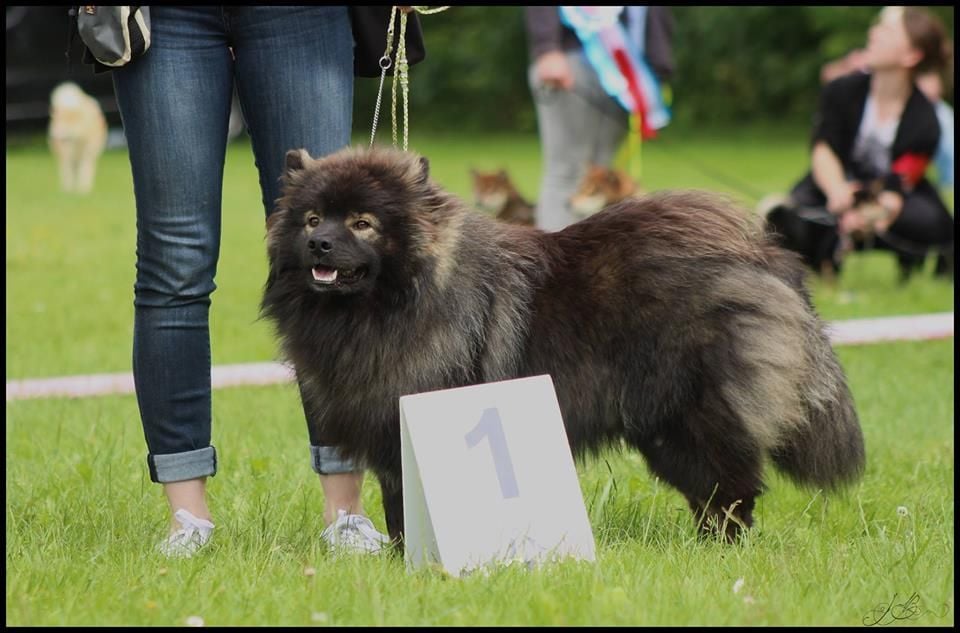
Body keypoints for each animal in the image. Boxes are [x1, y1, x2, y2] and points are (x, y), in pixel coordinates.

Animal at [264, 146, 872, 544]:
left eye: (362, 223)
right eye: (313, 219)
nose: (320, 243)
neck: (392, 305)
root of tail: (760, 251)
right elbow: (398, 506)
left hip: (687, 418)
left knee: (731, 488)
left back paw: (721, 550)